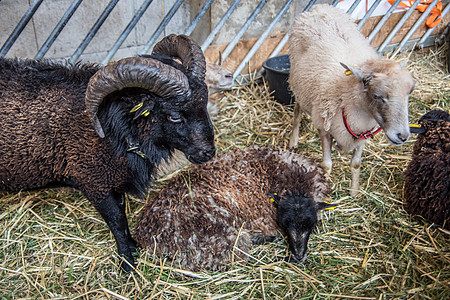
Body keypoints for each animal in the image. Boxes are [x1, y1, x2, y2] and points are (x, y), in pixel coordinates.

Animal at [0, 34, 216, 270]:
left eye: (205, 102)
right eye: (174, 116)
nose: (208, 152)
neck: (115, 126)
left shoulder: (113, 179)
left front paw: (134, 247)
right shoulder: (94, 182)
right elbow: (117, 221)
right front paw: (128, 263)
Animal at [288, 5, 414, 197]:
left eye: (409, 93)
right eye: (378, 96)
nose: (403, 136)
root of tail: (320, 7)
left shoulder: (363, 134)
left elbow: (356, 164)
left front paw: (354, 193)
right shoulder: (325, 128)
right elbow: (327, 165)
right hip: (298, 83)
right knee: (297, 111)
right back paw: (293, 141)